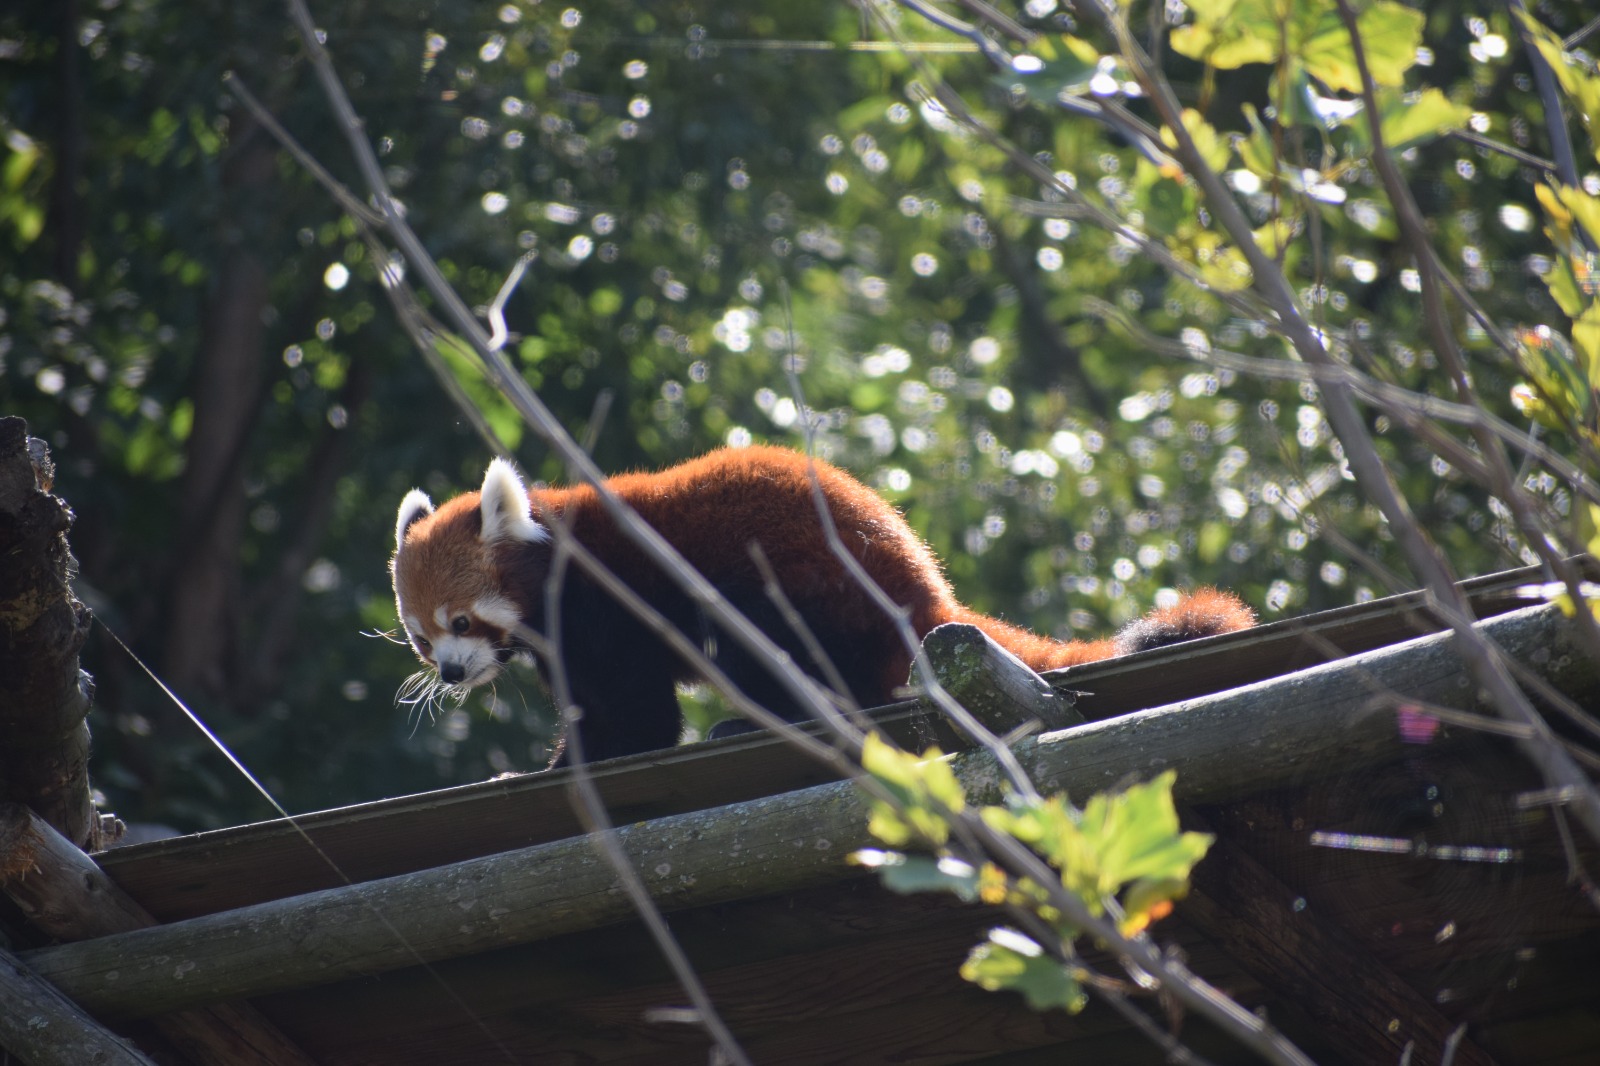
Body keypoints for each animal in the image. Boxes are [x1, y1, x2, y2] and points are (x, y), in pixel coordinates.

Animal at [393, 444, 1254, 765]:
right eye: (422, 637)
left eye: (462, 621)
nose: (453, 672)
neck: (553, 557)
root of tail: (921, 584)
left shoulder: (613, 604)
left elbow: (635, 706)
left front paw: (597, 756)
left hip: (797, 586)